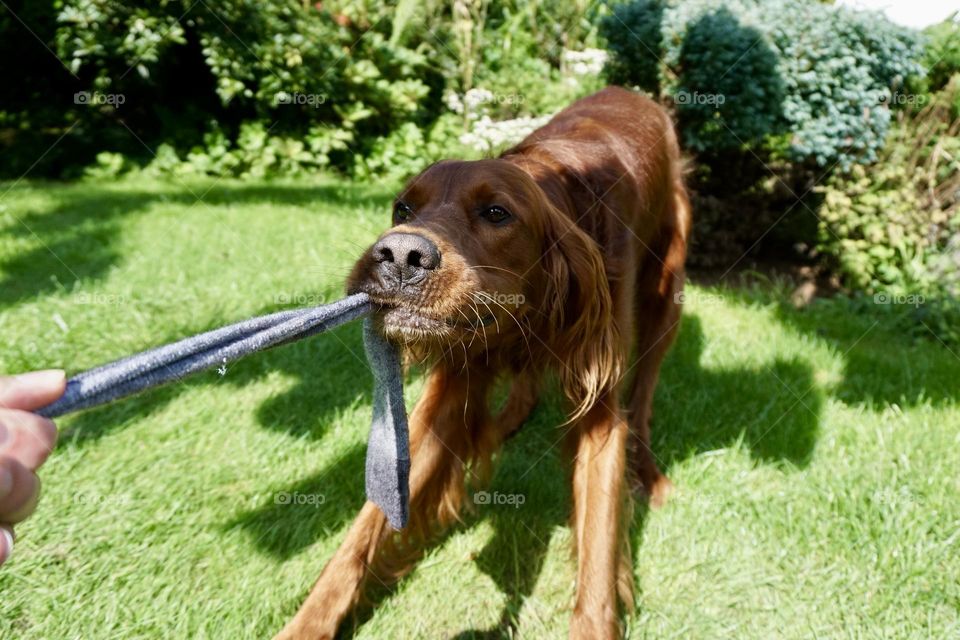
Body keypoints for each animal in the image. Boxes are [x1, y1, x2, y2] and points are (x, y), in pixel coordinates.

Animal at [278, 86, 688, 640]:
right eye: (402, 208)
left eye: (497, 212)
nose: (399, 255)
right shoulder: (452, 387)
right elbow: (362, 532)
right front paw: (306, 624)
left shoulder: (599, 405)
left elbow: (599, 555)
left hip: (667, 291)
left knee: (643, 394)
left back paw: (648, 471)